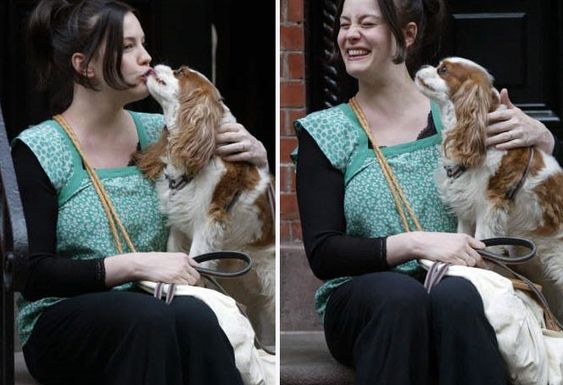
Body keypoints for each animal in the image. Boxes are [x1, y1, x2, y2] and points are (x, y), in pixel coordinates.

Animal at [134, 64, 276, 344]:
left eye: (179, 72)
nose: (154, 64)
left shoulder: (207, 226)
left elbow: (194, 260)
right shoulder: (179, 224)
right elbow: (174, 254)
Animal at [414, 57, 563, 320]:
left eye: (443, 70)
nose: (422, 66)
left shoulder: (489, 210)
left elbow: (482, 243)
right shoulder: (466, 210)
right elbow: (464, 238)